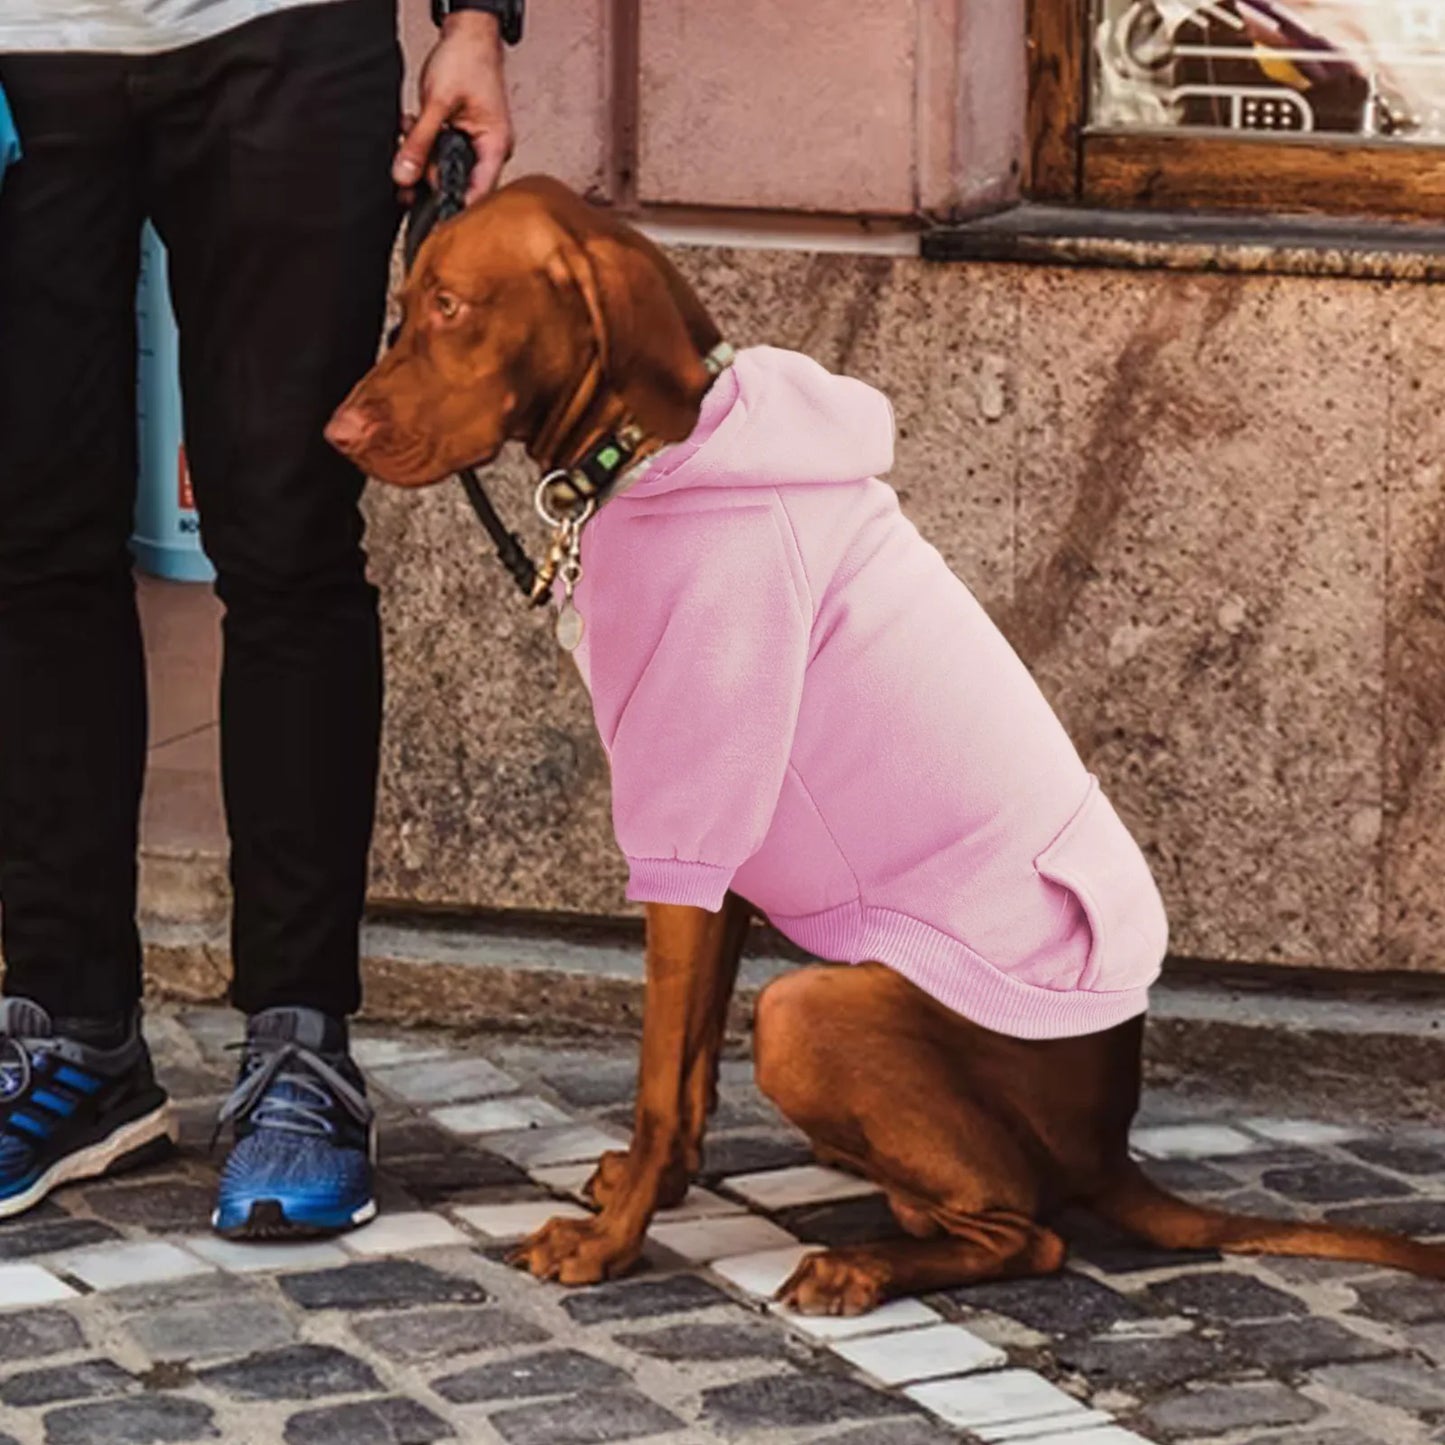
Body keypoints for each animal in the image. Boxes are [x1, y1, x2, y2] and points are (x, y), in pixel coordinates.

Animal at [328, 177, 1445, 1312]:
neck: (658, 452)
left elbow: (655, 1077)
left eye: (452, 307)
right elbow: (688, 1069)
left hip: (807, 1008)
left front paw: (610, 1240)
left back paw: (857, 1262)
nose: (336, 430)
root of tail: (1109, 1142)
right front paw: (656, 1187)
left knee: (1027, 1230)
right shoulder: (722, 859)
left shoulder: (684, 821)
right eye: (406, 304)